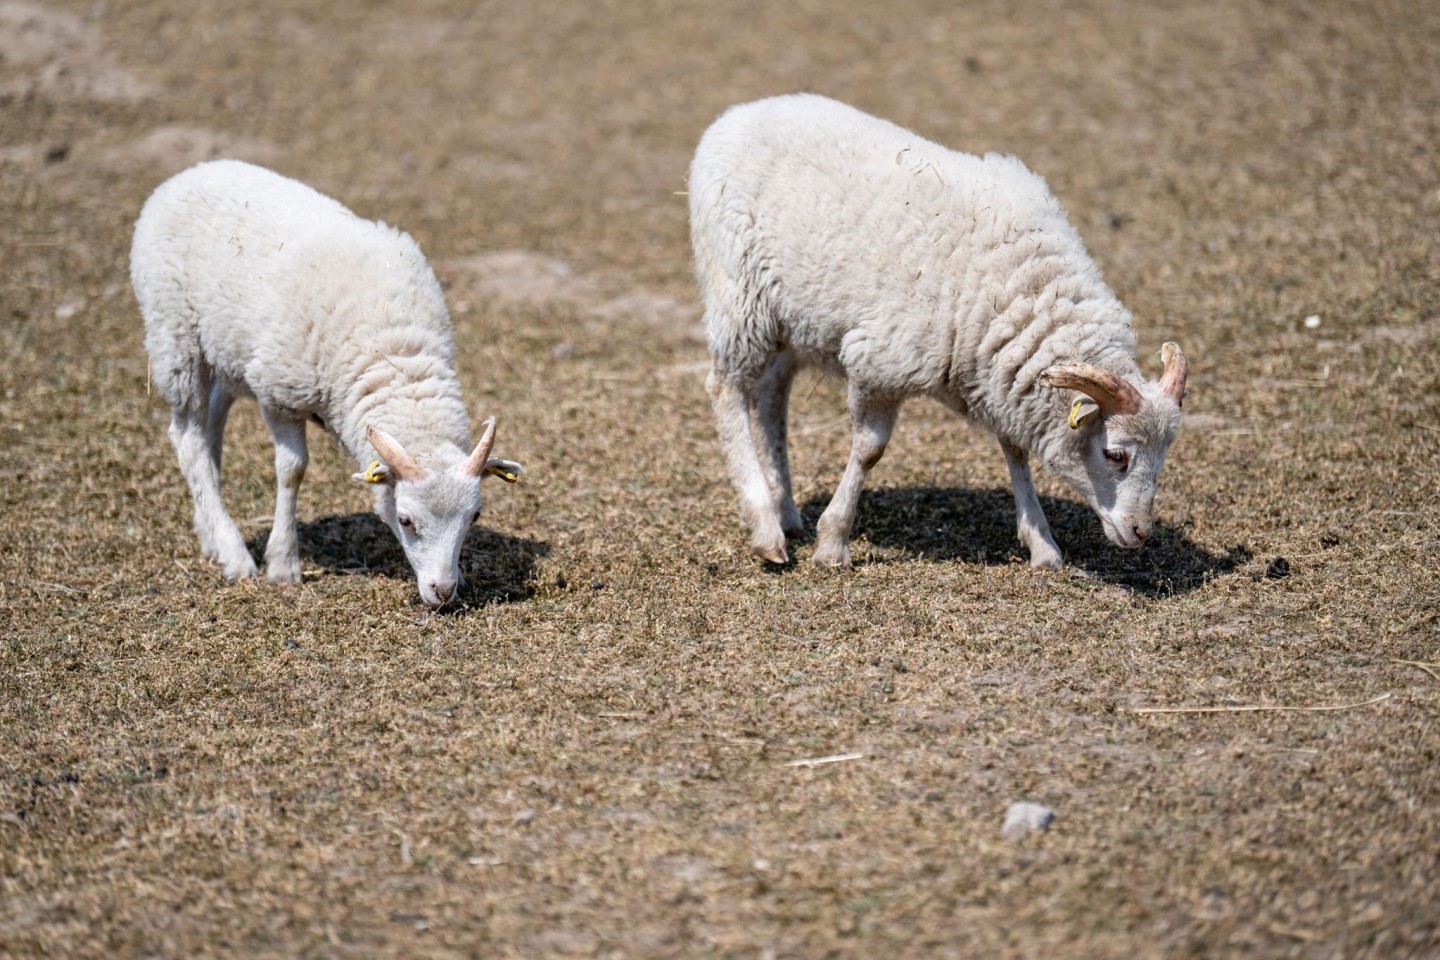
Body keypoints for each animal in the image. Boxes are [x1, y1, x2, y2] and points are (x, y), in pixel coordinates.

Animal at [131, 158, 524, 607]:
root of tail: (192, 171)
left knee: (209, 428)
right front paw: (284, 564)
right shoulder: (280, 394)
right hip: (175, 334)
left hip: (228, 353)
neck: (394, 356)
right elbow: (292, 471)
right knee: (187, 439)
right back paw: (234, 554)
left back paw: (211, 533)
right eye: (405, 520)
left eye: (475, 516)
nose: (443, 592)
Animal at [691, 93, 1186, 567]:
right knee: (726, 389)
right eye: (1115, 454)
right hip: (738, 293)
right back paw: (766, 528)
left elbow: (1014, 449)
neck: (1024, 288)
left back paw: (786, 512)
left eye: (1164, 454)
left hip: (790, 320)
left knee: (771, 397)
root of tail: (738, 114)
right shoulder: (880, 364)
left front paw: (1042, 545)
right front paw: (833, 542)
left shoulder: (1000, 375)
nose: (1141, 533)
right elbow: (870, 450)